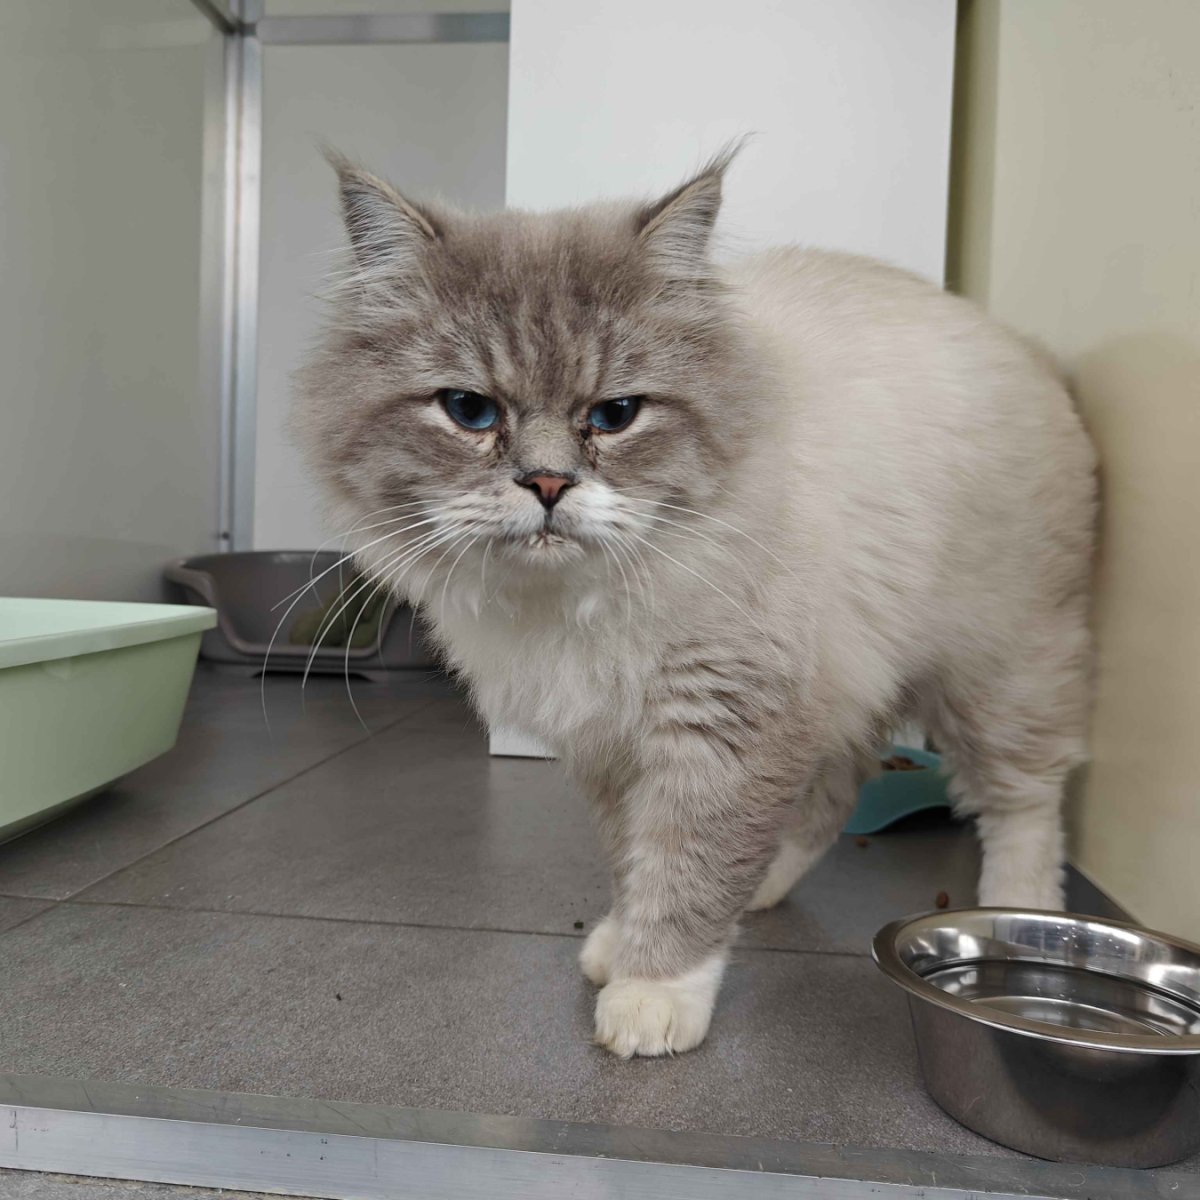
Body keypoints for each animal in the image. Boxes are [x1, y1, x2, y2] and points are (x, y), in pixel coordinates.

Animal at [295, 148, 1096, 1058]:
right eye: (469, 410)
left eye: (615, 415)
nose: (548, 485)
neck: (576, 604)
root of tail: (1019, 343)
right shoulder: (617, 742)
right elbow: (643, 860)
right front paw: (621, 945)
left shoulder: (723, 721)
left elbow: (690, 866)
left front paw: (652, 993)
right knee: (832, 796)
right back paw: (766, 891)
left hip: (998, 678)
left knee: (1025, 803)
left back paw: (1024, 917)